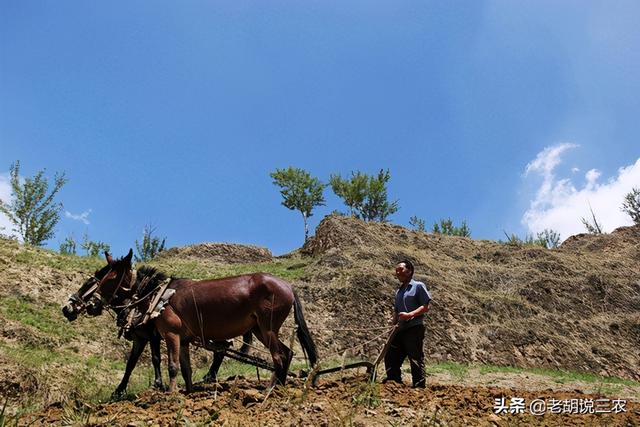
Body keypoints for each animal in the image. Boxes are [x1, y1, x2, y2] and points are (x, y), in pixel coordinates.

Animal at [92, 251, 318, 394]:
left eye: (109, 279)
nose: (93, 303)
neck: (160, 297)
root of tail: (287, 286)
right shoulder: (183, 340)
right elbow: (186, 369)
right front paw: (188, 393)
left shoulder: (171, 335)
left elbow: (172, 366)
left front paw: (170, 395)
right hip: (260, 330)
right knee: (287, 353)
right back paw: (280, 387)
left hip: (268, 328)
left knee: (279, 356)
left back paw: (270, 390)